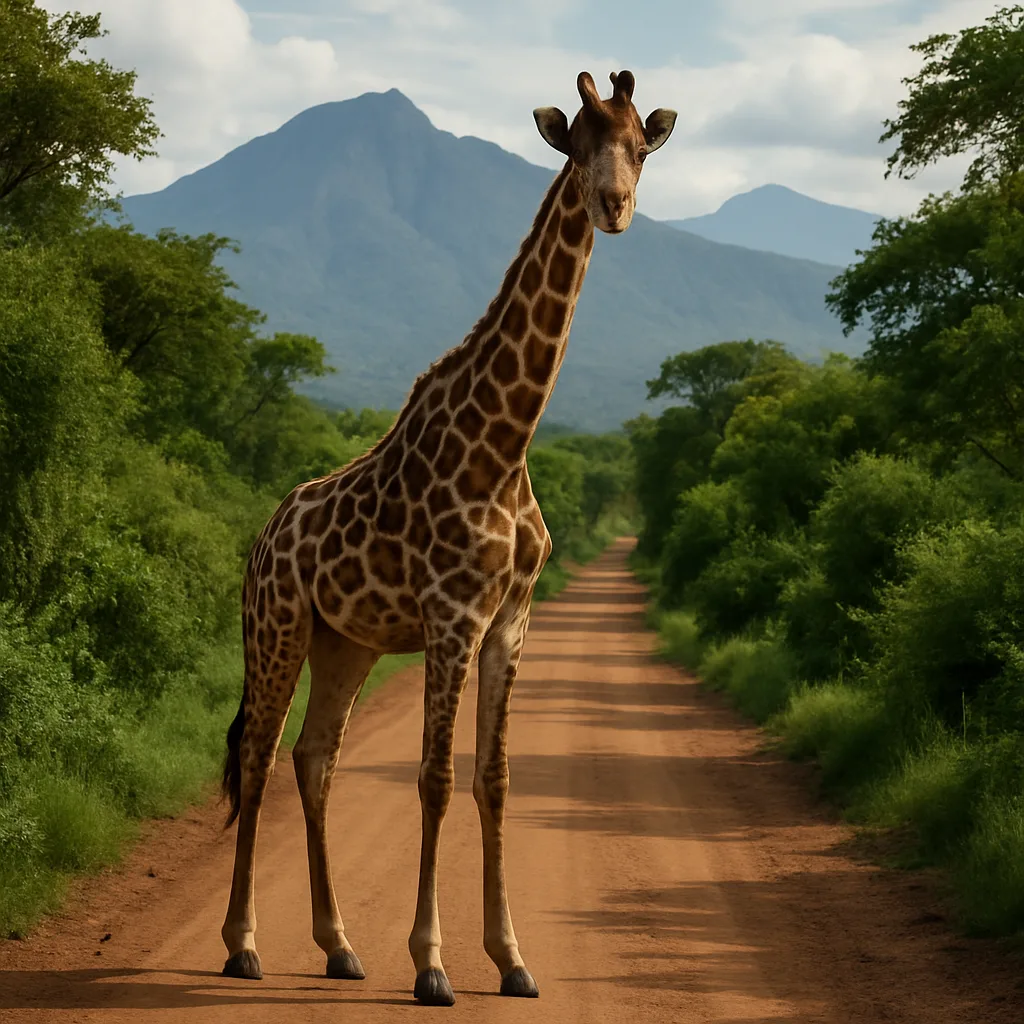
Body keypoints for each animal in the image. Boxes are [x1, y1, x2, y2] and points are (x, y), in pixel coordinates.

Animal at [219, 68, 676, 1006]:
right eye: (578, 144)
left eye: (640, 148)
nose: (613, 206)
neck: (507, 445)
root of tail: (262, 538)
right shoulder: (450, 616)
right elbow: (432, 778)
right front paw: (432, 964)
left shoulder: (510, 620)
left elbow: (493, 781)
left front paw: (512, 960)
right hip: (276, 625)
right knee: (256, 753)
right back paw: (242, 945)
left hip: (345, 642)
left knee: (313, 758)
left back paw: (338, 946)